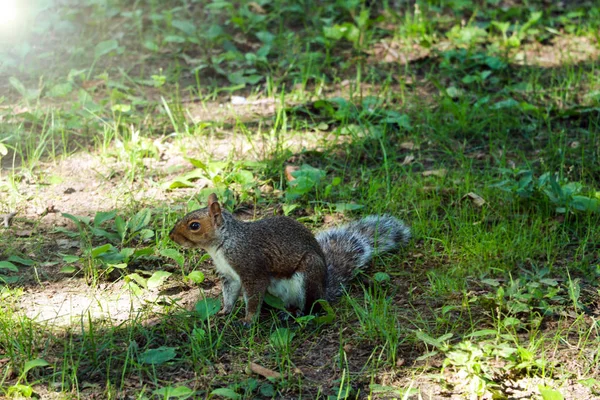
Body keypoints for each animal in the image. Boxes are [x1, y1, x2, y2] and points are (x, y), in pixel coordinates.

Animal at [169, 193, 412, 322]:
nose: (171, 237)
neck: (223, 244)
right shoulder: (229, 276)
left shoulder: (251, 268)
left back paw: (296, 315)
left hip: (307, 277)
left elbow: (253, 296)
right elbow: (229, 295)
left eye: (194, 226)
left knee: (310, 307)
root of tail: (324, 290)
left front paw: (248, 320)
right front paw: (224, 312)